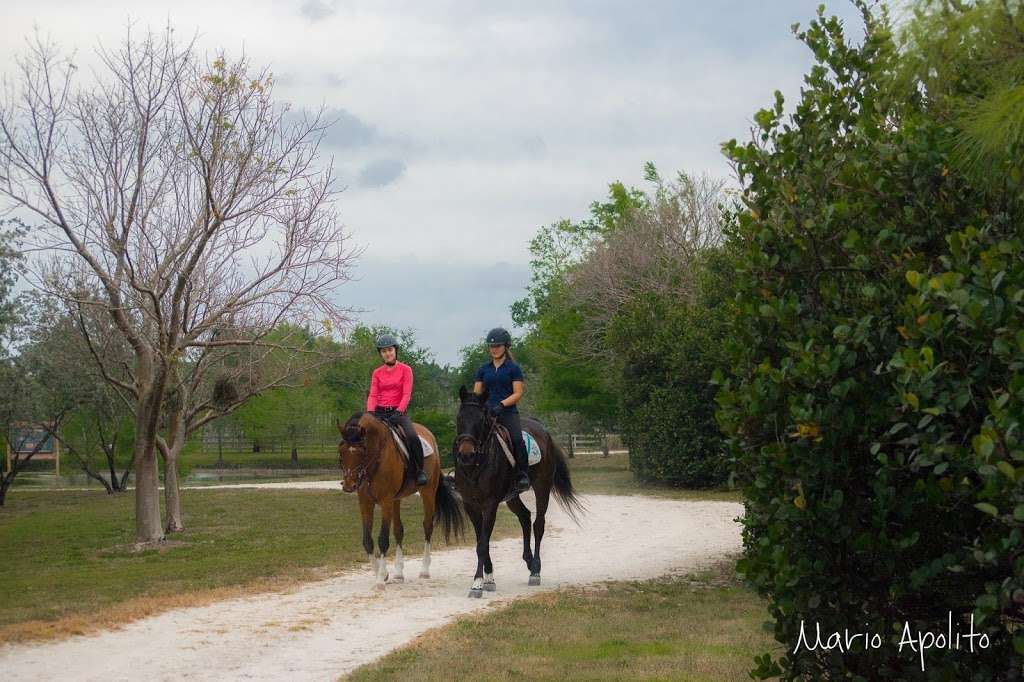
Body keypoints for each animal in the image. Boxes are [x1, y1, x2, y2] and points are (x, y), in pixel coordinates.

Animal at [335, 409, 464, 585]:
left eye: (362, 451)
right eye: (341, 452)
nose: (349, 485)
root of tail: (427, 433)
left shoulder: (385, 501)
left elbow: (383, 539)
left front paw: (380, 579)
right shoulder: (365, 502)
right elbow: (367, 540)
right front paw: (382, 574)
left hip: (427, 492)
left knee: (427, 526)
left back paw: (424, 570)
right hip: (396, 500)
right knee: (398, 531)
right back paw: (399, 573)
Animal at [454, 387, 585, 593]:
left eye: (481, 420)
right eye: (459, 417)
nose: (466, 455)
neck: (476, 465)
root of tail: (543, 430)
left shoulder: (490, 505)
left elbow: (483, 543)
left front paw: (477, 583)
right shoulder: (470, 505)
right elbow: (481, 541)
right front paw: (488, 578)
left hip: (542, 487)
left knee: (538, 524)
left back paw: (535, 570)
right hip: (512, 496)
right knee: (525, 516)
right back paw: (529, 561)